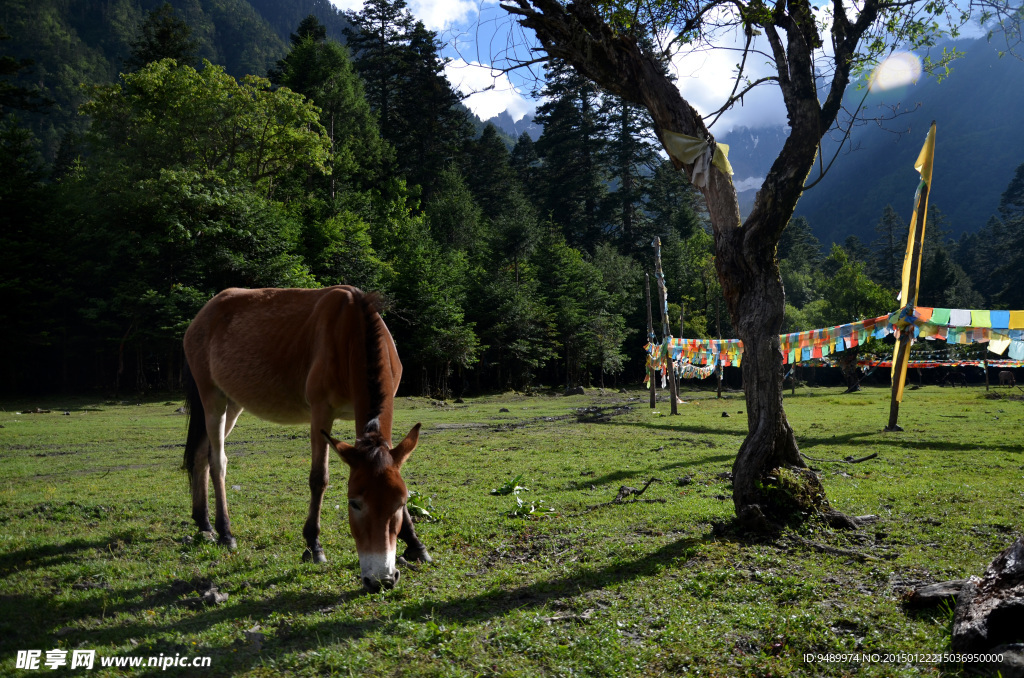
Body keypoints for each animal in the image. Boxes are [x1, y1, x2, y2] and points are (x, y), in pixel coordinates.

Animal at [184, 284, 428, 594]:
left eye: (399, 503)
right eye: (354, 503)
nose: (381, 579)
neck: (351, 330)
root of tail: (203, 315)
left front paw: (416, 544)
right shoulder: (321, 413)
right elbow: (319, 479)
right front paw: (314, 545)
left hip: (232, 403)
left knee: (201, 456)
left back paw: (204, 524)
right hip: (212, 398)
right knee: (217, 462)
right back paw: (225, 532)